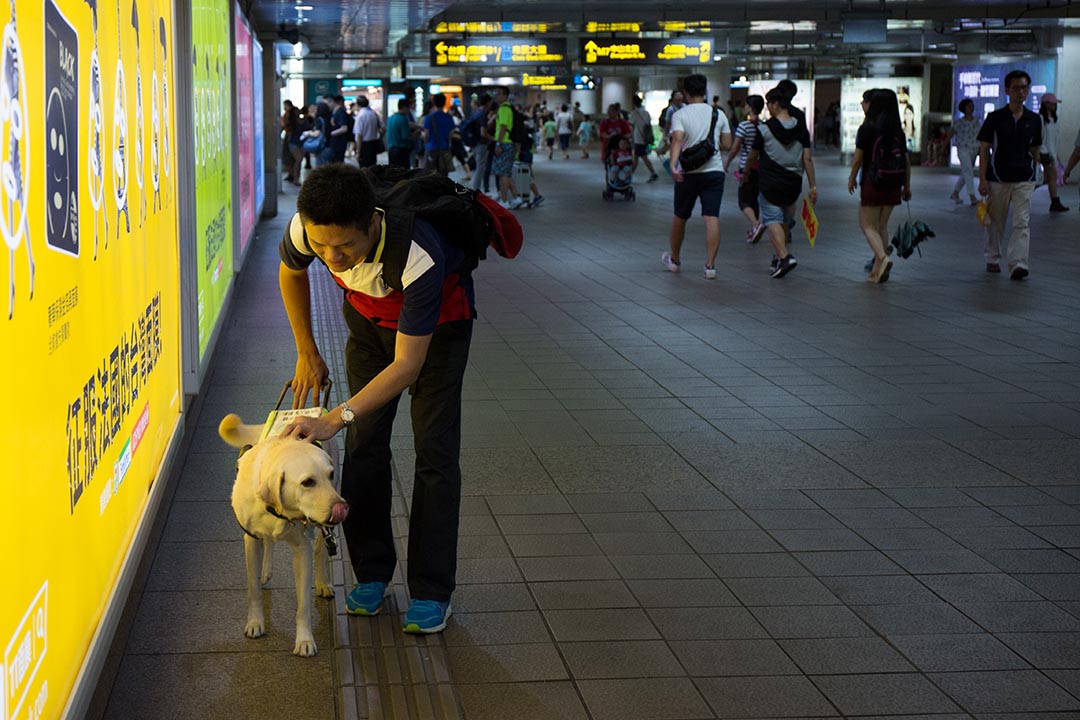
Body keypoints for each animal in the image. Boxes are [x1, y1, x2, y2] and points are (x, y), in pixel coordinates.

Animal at [219, 414, 349, 656]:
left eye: (330, 474)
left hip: (324, 526)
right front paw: (255, 622)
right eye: (307, 482)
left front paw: (305, 640)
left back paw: (323, 582)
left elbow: (303, 605)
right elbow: (253, 590)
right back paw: (265, 571)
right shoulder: (250, 540)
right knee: (269, 542)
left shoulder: (302, 550)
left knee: (319, 548)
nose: (342, 507)